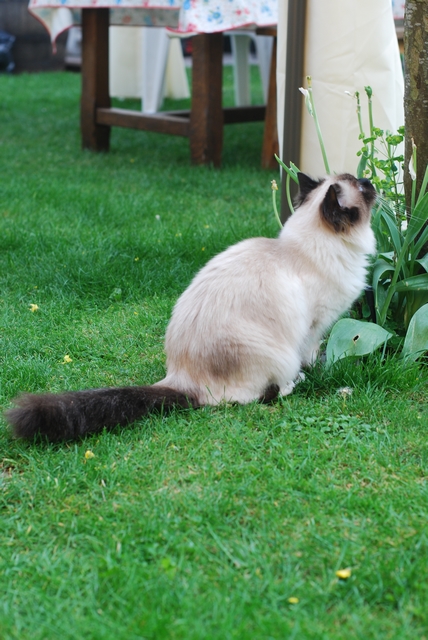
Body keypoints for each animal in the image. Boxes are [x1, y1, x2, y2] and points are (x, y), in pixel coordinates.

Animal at [5, 171, 374, 440]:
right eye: (361, 186)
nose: (371, 179)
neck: (307, 250)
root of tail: (179, 377)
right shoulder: (315, 327)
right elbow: (313, 354)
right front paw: (320, 371)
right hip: (278, 354)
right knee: (261, 393)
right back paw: (295, 382)